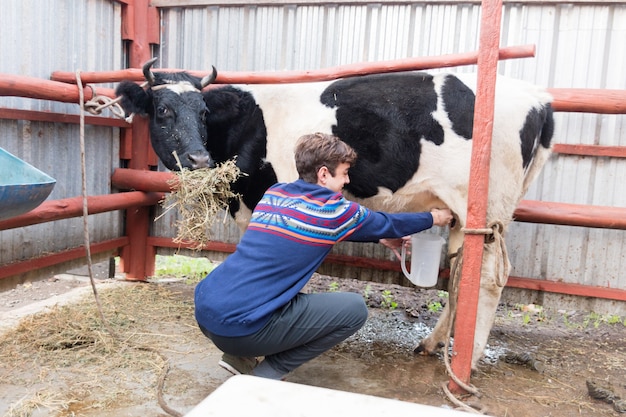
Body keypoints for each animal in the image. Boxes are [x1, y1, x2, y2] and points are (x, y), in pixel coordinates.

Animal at [116, 57, 552, 368]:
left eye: (203, 111)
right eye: (162, 110)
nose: (198, 158)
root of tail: (539, 98)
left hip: (488, 208)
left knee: (490, 278)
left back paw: (470, 358)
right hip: (469, 214)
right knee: (464, 273)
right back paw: (435, 343)